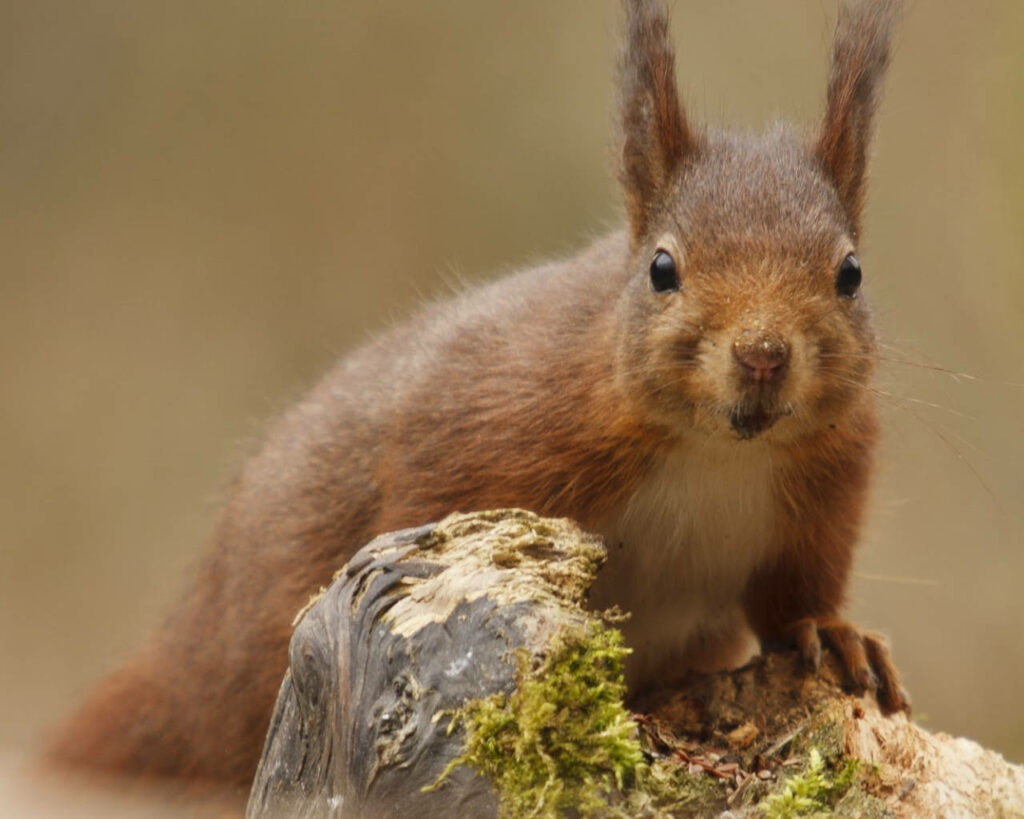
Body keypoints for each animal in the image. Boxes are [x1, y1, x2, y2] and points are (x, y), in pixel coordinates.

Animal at [43, 0, 908, 800]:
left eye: (851, 273)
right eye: (662, 269)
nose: (762, 354)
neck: (715, 449)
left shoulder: (825, 485)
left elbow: (794, 590)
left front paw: (834, 634)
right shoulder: (486, 417)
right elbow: (420, 503)